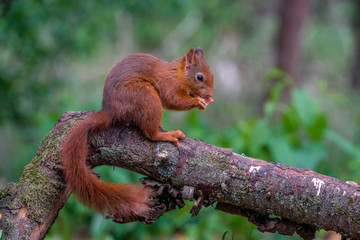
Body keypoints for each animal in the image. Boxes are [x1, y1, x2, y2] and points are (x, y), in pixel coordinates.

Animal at [60, 47, 214, 222]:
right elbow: (173, 99)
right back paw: (167, 135)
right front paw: (198, 101)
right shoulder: (168, 85)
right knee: (150, 133)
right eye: (199, 77)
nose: (210, 94)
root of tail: (111, 111)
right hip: (145, 96)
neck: (177, 73)